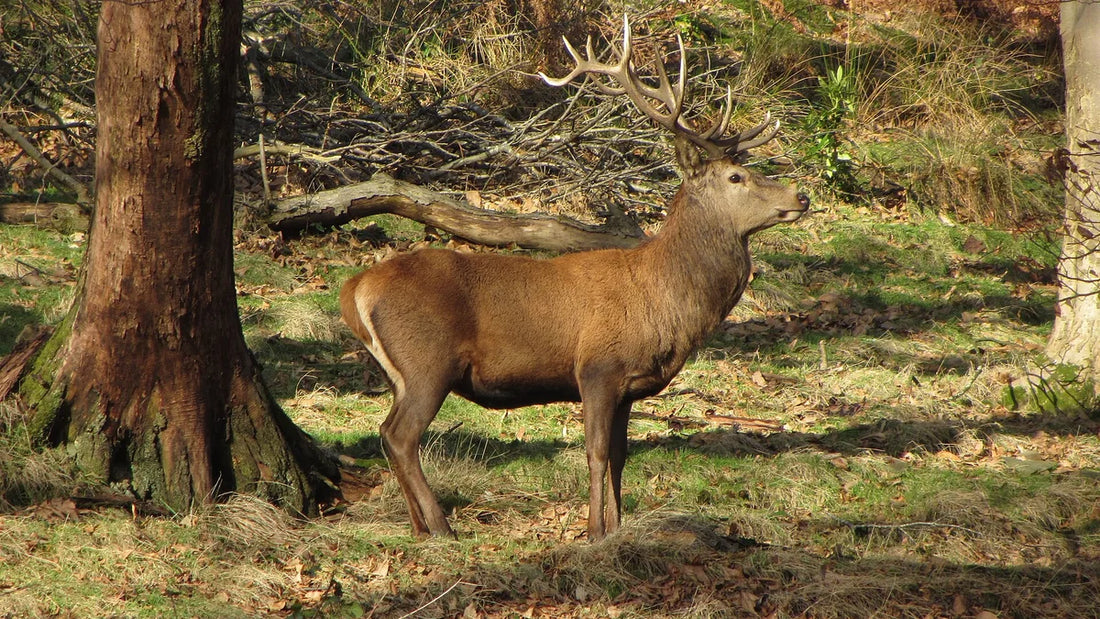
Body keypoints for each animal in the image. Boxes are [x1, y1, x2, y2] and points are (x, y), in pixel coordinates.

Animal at [339, 17, 810, 541]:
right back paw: (441, 527)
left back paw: (421, 527)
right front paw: (594, 531)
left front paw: (619, 527)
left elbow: (622, 457)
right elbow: (597, 453)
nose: (801, 196)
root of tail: (355, 289)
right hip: (428, 361)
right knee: (401, 436)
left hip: (399, 372)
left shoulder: (630, 385)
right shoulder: (598, 367)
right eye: (735, 177)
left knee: (387, 432)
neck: (666, 300)